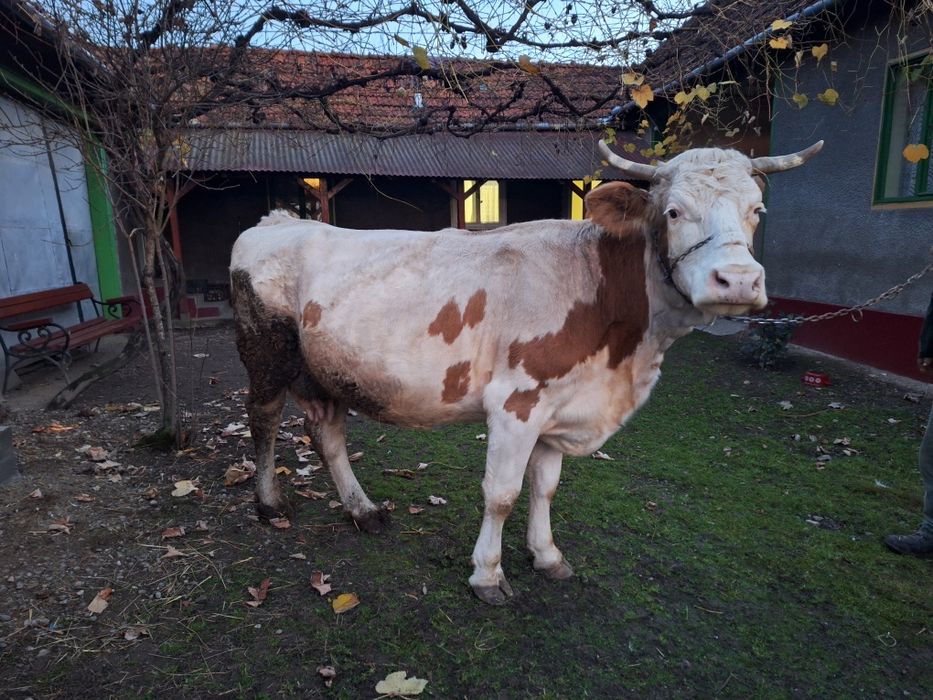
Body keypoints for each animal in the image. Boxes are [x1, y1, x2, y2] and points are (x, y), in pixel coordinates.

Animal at [230, 140, 822, 605]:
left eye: (757, 210)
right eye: (673, 211)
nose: (738, 280)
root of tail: (276, 220)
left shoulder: (560, 406)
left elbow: (545, 488)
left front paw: (547, 555)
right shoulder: (516, 402)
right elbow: (502, 493)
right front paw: (488, 576)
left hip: (324, 367)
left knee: (327, 432)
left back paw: (363, 510)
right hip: (266, 353)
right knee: (263, 420)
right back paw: (269, 501)